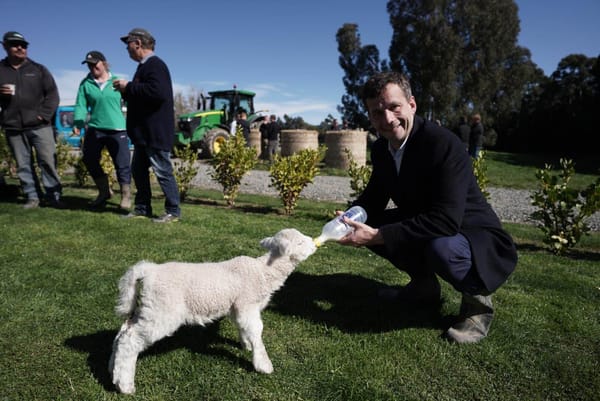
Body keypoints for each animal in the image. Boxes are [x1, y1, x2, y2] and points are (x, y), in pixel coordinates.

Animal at [107, 228, 316, 394]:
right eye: (299, 242)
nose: (315, 244)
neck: (263, 271)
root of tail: (149, 271)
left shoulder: (237, 305)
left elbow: (243, 327)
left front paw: (246, 345)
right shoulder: (247, 303)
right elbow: (256, 330)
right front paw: (263, 364)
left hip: (149, 307)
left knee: (123, 331)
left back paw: (112, 371)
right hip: (163, 310)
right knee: (130, 340)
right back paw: (125, 386)